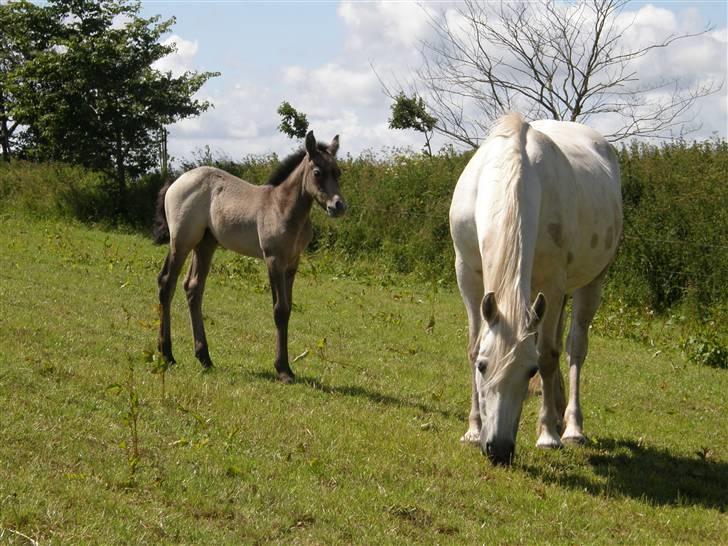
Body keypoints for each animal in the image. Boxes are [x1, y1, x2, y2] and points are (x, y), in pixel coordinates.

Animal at [154, 130, 346, 380]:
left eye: (338, 172)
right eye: (317, 173)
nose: (338, 206)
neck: (282, 206)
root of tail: (177, 181)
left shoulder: (292, 263)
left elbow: (288, 308)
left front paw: (286, 367)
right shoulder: (274, 260)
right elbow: (280, 310)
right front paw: (283, 369)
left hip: (205, 244)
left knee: (193, 288)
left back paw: (204, 357)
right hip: (182, 241)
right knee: (167, 283)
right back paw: (167, 354)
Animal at [452, 112, 624, 462]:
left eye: (529, 371)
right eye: (483, 367)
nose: (499, 449)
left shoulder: (553, 284)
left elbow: (548, 354)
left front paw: (548, 435)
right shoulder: (467, 274)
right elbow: (473, 344)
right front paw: (473, 430)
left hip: (591, 283)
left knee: (573, 348)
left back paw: (571, 427)